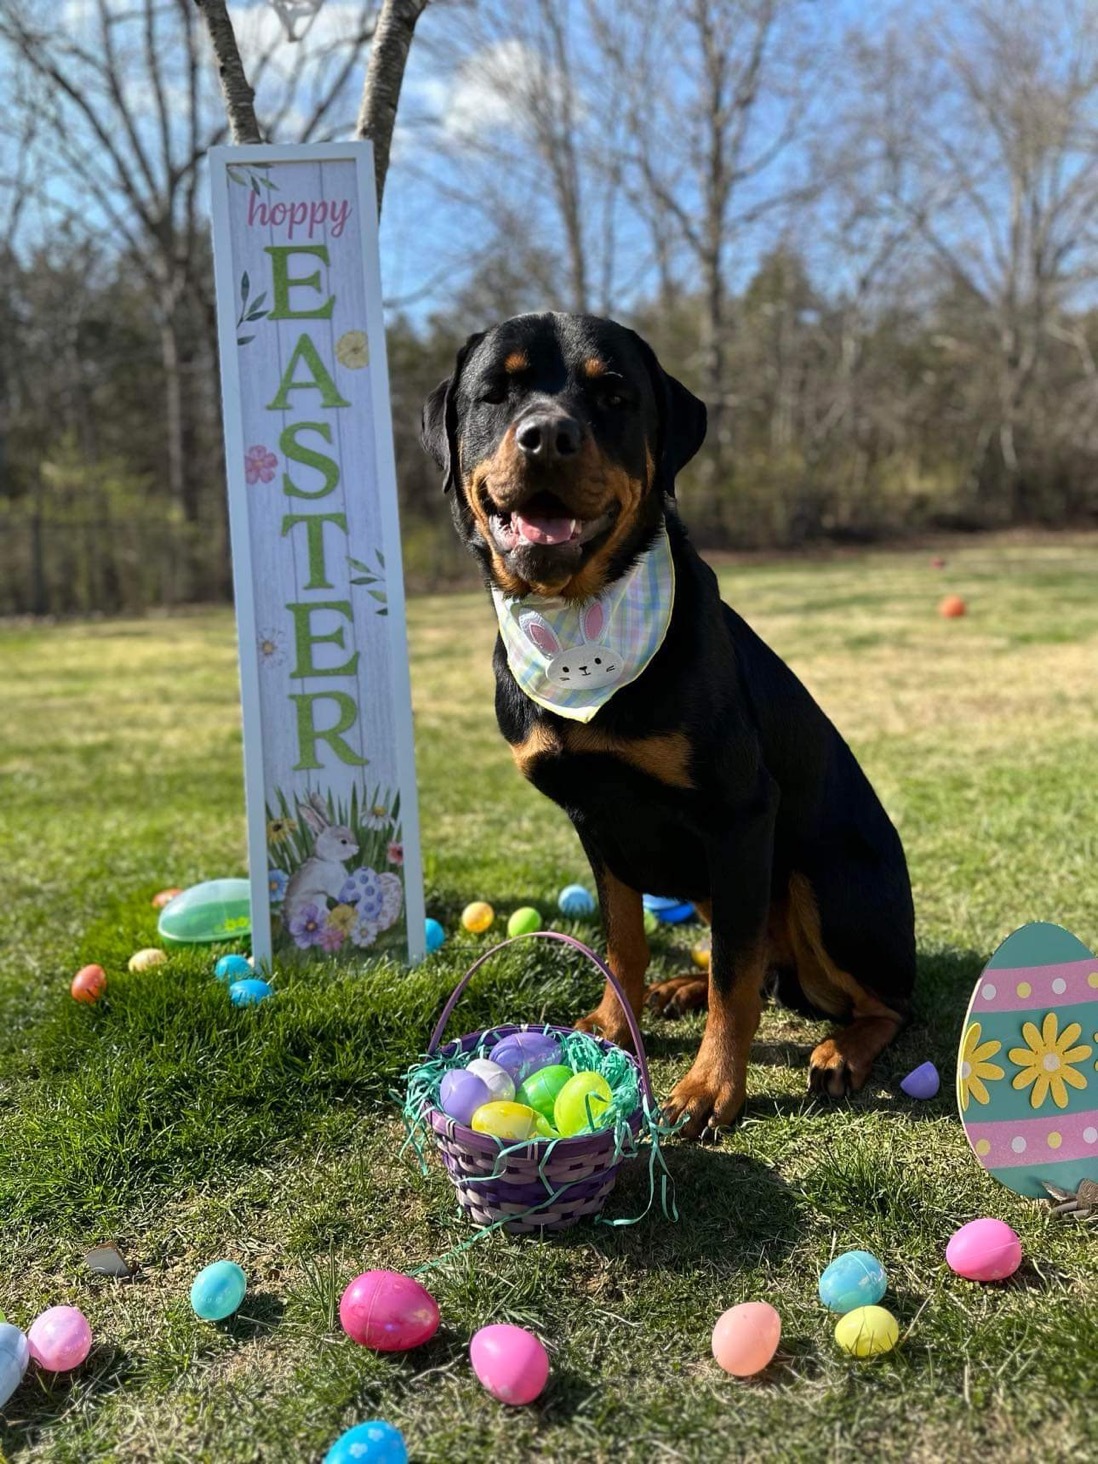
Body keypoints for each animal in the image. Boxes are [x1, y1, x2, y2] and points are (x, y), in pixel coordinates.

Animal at [424, 314, 919, 1136]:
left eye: (614, 395)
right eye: (495, 392)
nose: (547, 436)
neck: (579, 623)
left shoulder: (740, 815)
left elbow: (735, 979)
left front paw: (711, 1088)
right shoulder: (596, 822)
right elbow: (625, 939)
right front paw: (613, 1021)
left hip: (823, 881)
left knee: (883, 1001)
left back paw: (841, 1050)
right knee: (759, 961)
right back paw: (681, 986)